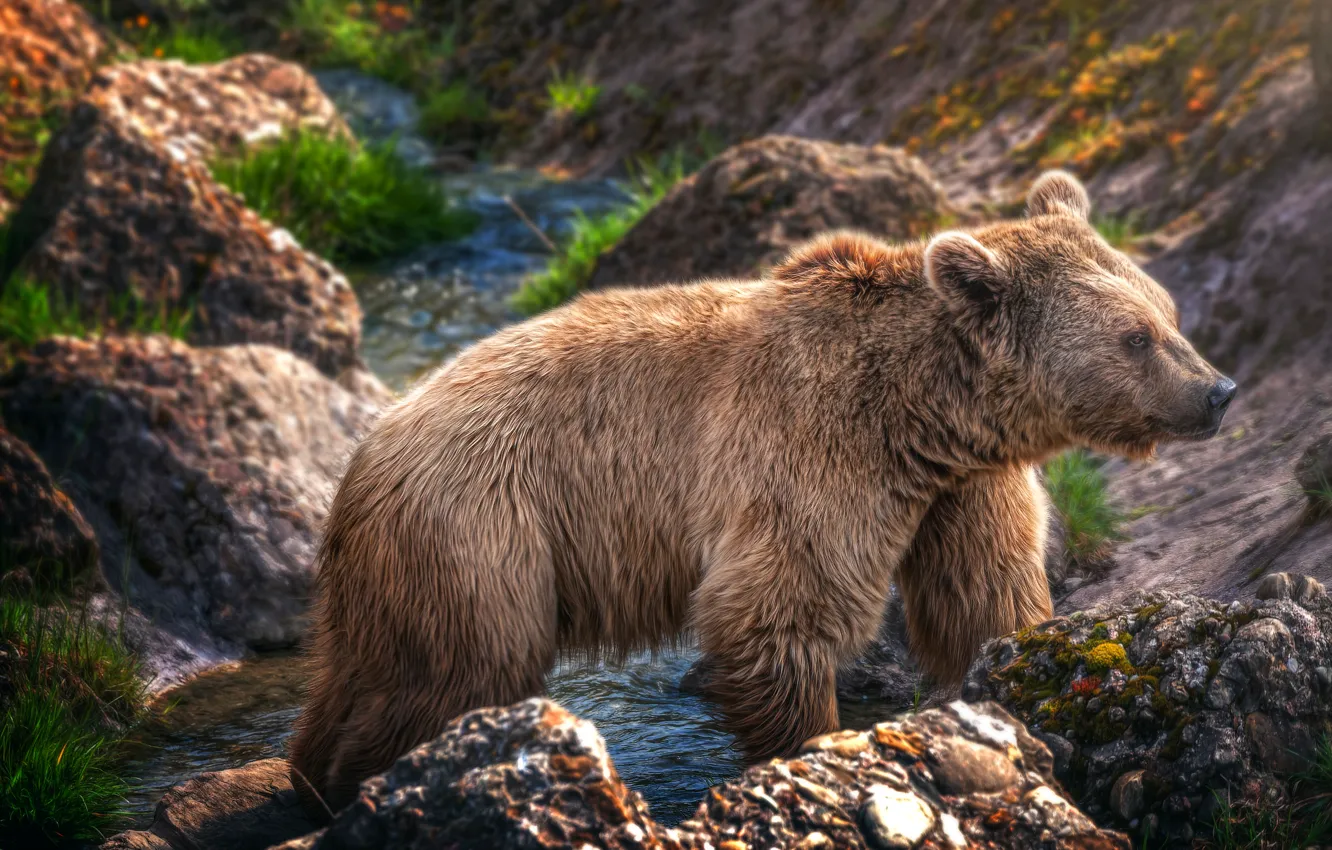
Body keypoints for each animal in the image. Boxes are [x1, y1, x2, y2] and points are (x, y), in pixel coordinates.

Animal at [286, 169, 1230, 815]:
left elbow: (982, 596)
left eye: (1166, 312)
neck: (923, 414)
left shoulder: (961, 491)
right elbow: (779, 611)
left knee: (369, 671)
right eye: (1134, 335)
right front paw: (817, 746)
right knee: (455, 673)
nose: (1218, 390)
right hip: (481, 528)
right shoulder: (810, 452)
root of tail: (368, 446)